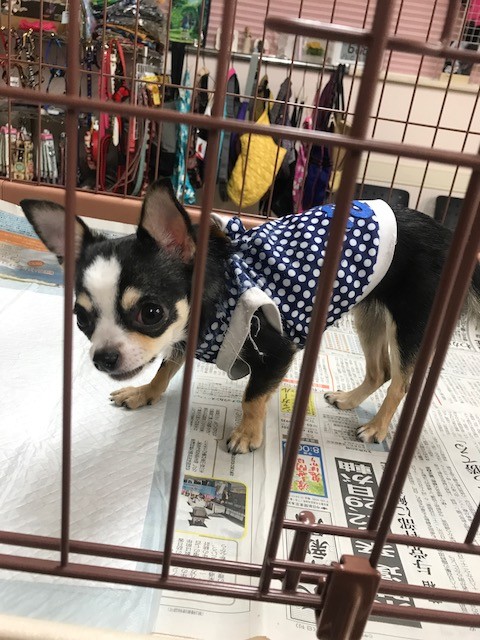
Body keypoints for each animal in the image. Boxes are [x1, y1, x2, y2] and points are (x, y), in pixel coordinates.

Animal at [20, 179, 480, 453]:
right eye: (82, 319)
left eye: (151, 313)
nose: (103, 358)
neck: (215, 299)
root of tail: (449, 236)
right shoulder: (185, 337)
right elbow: (166, 367)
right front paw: (145, 393)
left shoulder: (276, 353)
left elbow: (252, 396)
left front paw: (247, 434)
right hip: (370, 313)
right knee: (379, 370)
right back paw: (349, 400)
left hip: (411, 323)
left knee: (400, 380)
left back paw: (379, 427)